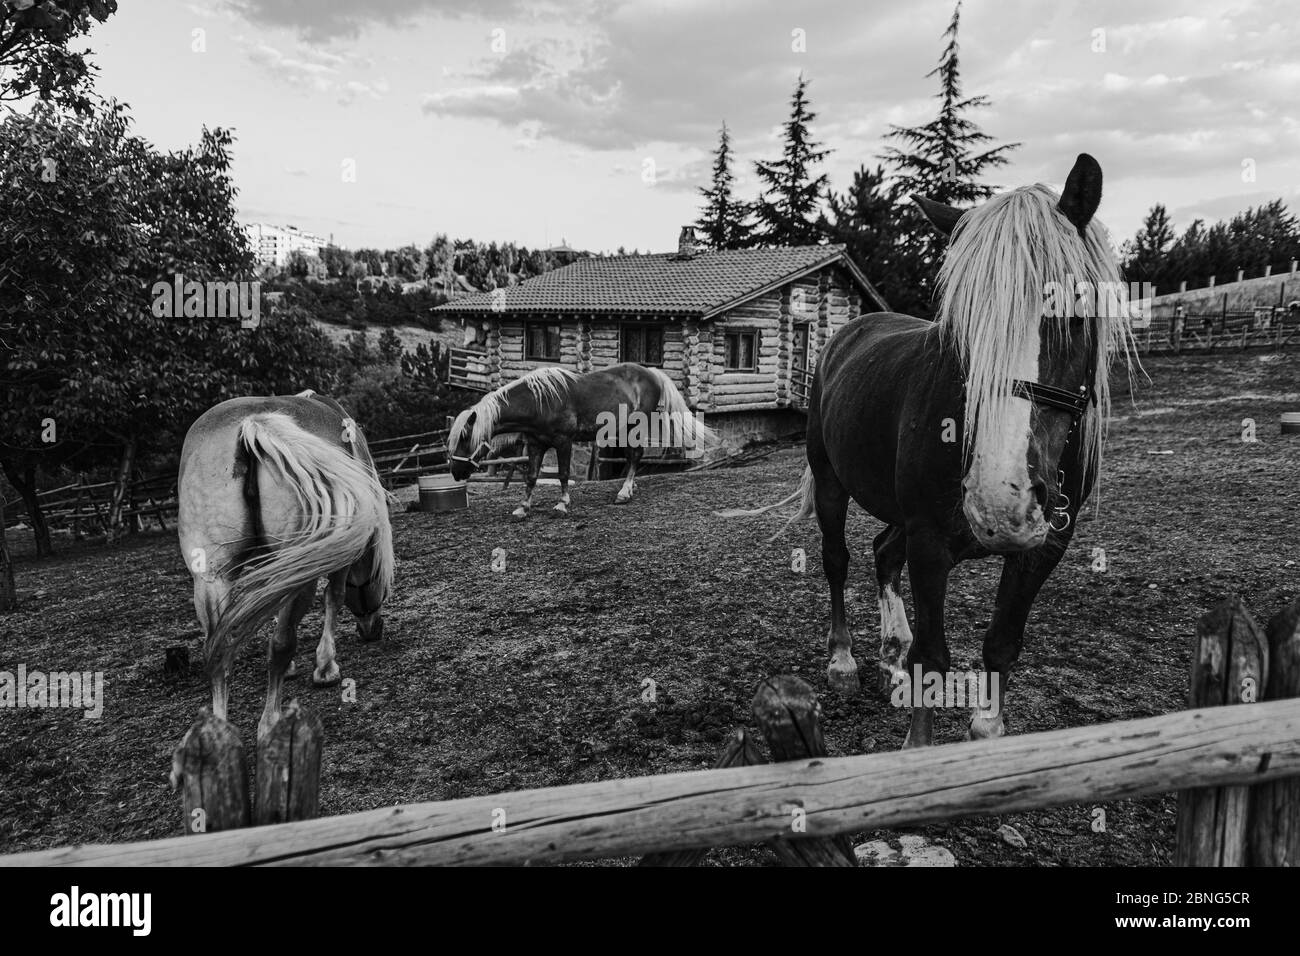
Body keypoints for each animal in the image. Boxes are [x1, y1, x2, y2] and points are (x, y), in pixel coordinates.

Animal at [177, 390, 394, 741]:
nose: (373, 630)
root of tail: (251, 426)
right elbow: (333, 597)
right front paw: (325, 667)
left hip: (212, 578)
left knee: (218, 650)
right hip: (299, 577)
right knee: (281, 645)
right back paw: (271, 723)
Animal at [448, 363, 716, 518]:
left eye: (465, 437)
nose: (455, 471)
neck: (538, 402)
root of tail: (651, 372)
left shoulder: (563, 442)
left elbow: (564, 474)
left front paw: (562, 504)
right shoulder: (535, 444)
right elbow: (531, 477)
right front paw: (523, 507)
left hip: (635, 426)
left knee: (634, 456)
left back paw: (624, 492)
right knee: (633, 457)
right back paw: (630, 488)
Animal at [723, 154, 1134, 748]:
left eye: (1074, 312)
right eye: (961, 328)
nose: (1000, 500)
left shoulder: (1043, 548)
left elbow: (1001, 644)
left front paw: (986, 726)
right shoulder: (930, 541)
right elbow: (934, 655)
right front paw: (917, 744)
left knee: (882, 553)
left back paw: (890, 656)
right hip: (831, 482)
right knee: (838, 559)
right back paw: (845, 661)